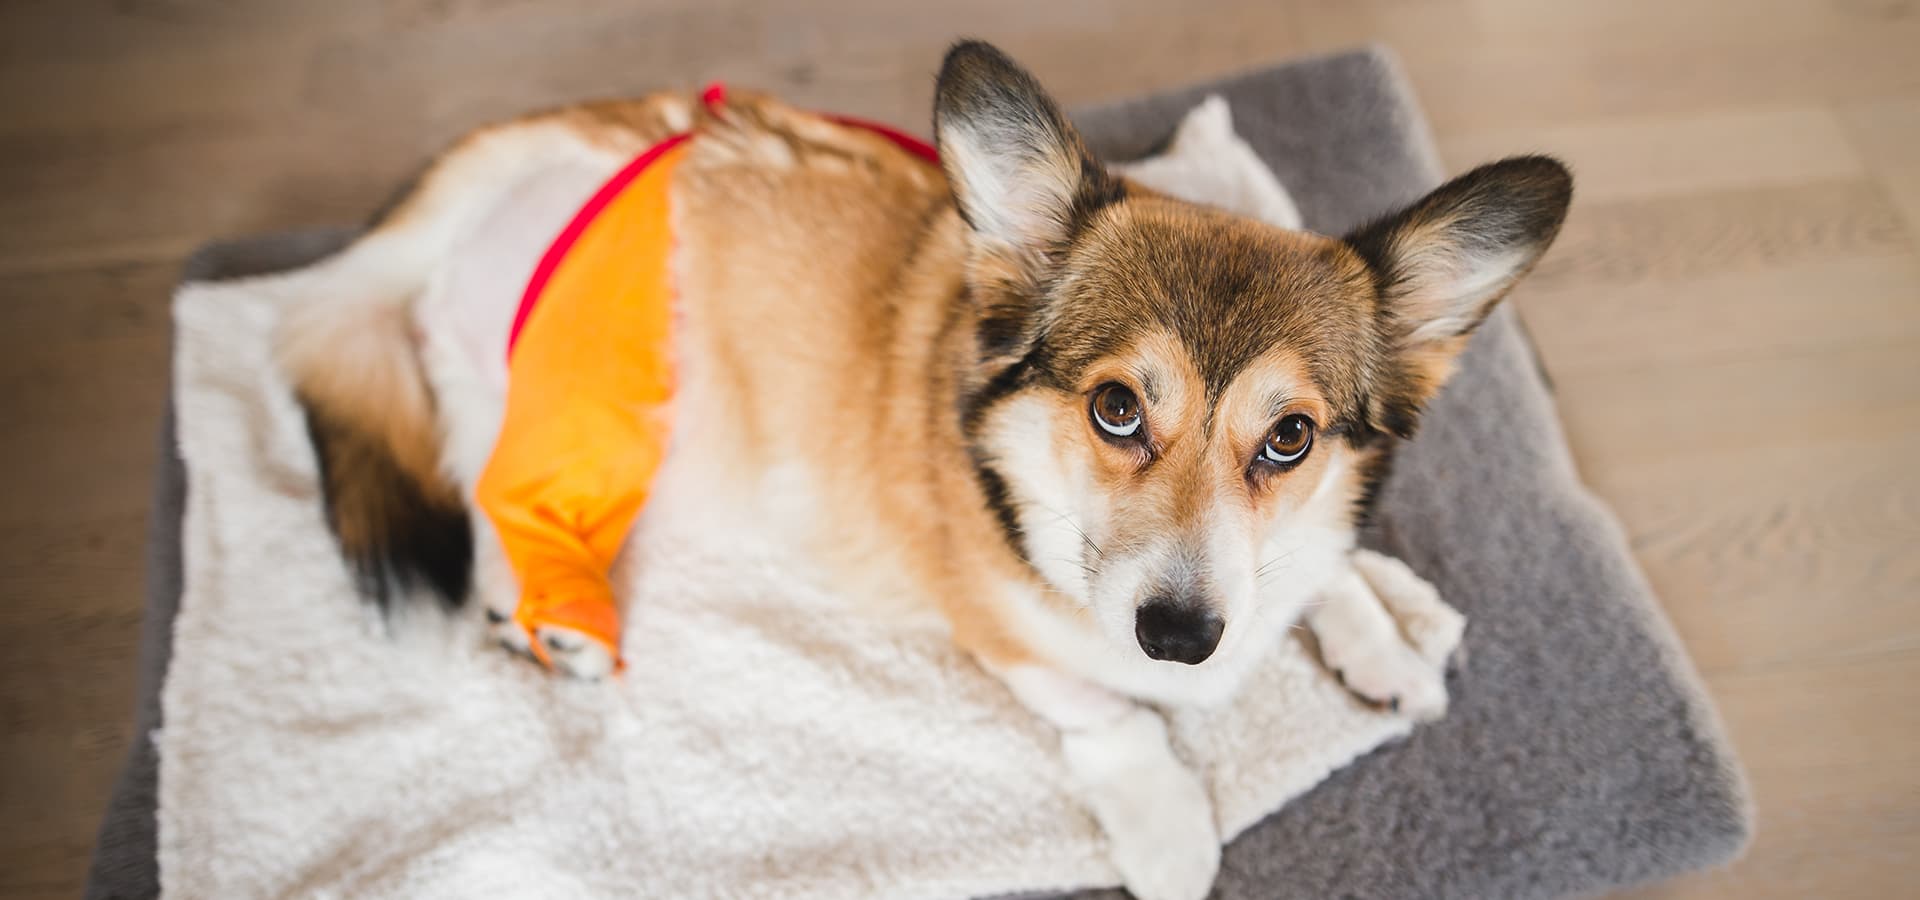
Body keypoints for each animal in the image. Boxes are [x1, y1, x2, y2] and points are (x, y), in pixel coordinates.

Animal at [278, 40, 1566, 898]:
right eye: (1115, 409)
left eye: (1289, 438)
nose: (1181, 637)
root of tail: (562, 144)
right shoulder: (999, 627)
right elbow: (1106, 713)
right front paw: (1165, 828)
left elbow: (1326, 566)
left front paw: (1379, 632)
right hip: (595, 409)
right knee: (497, 485)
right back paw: (547, 609)